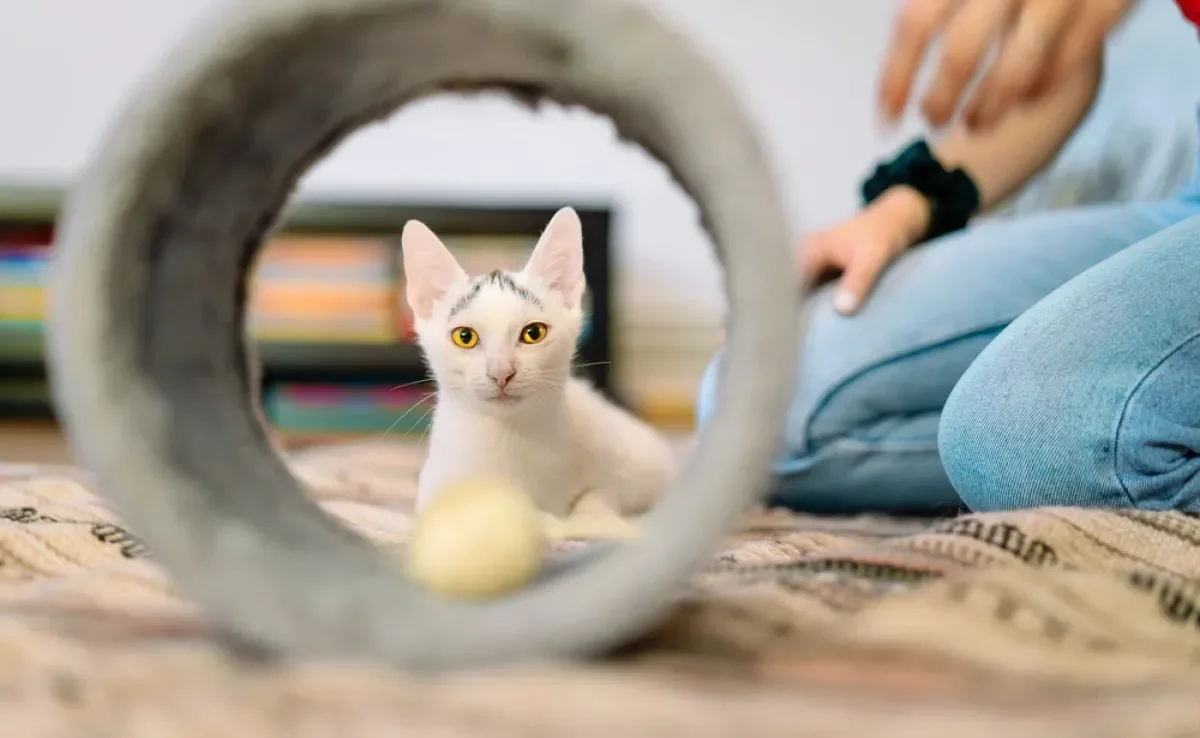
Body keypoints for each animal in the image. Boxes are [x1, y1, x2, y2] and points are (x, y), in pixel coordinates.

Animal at [403, 206, 681, 520]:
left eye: (533, 333)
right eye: (465, 336)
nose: (501, 373)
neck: (509, 437)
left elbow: (599, 497)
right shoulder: (434, 491)